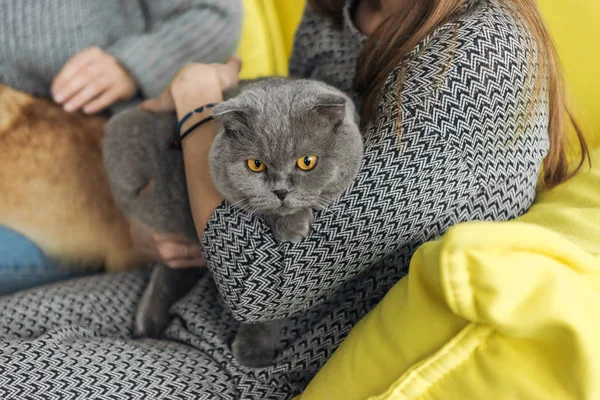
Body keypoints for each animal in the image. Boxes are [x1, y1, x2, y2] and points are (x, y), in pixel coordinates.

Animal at [103, 76, 364, 368]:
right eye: (255, 164)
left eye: (307, 161)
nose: (281, 191)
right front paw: (291, 223)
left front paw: (252, 351)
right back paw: (148, 321)